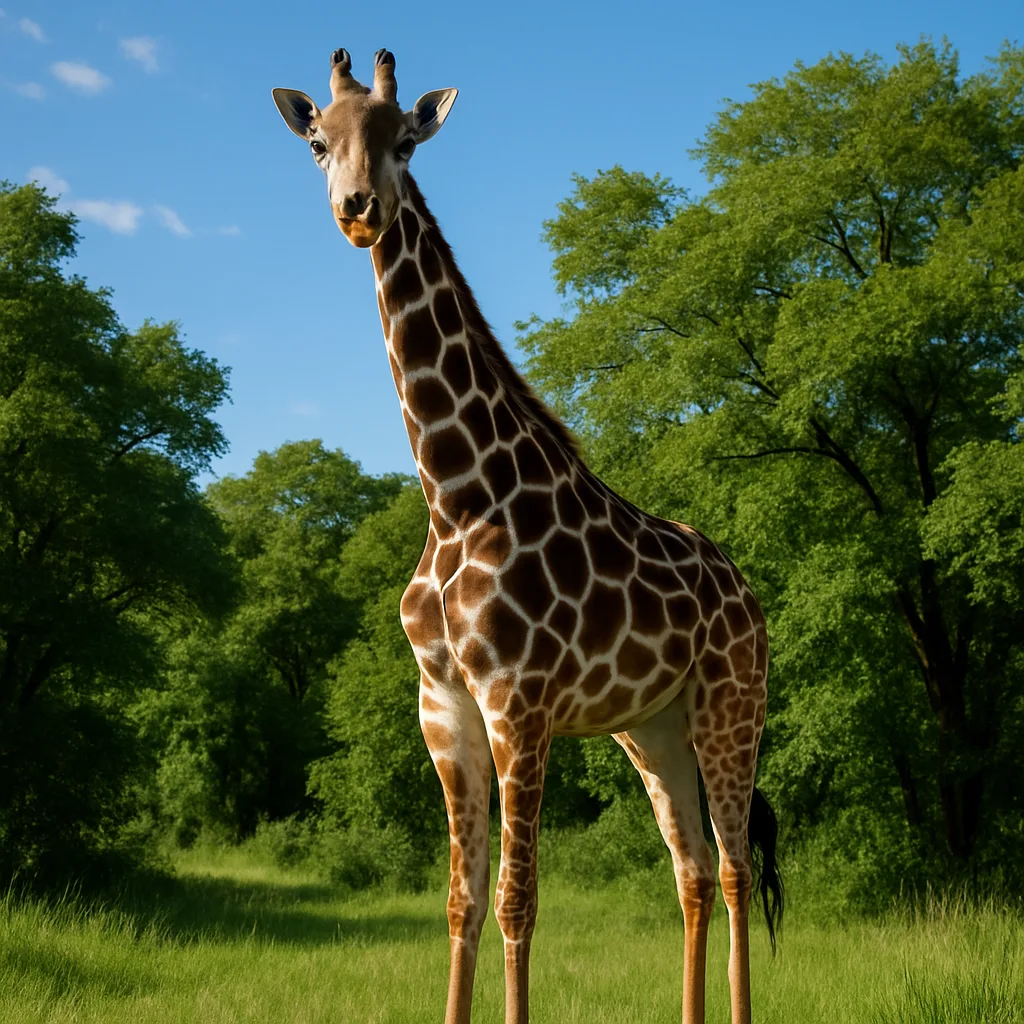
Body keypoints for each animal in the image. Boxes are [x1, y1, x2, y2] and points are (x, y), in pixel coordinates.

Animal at [272, 48, 783, 1024]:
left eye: (403, 140)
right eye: (318, 141)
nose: (359, 210)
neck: (455, 497)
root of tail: (745, 588)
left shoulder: (521, 701)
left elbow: (518, 901)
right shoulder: (443, 704)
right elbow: (462, 901)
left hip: (732, 703)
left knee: (738, 868)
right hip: (651, 729)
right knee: (693, 870)